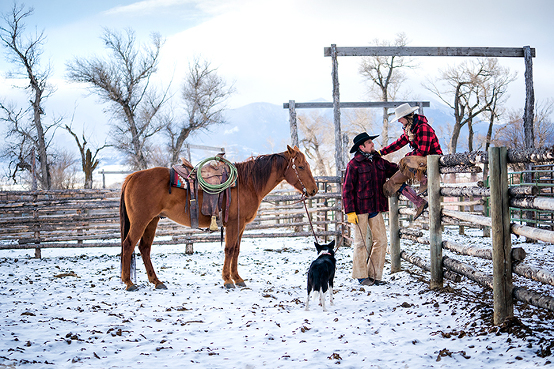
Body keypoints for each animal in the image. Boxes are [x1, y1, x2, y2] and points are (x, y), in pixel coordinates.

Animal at [119, 144, 320, 290]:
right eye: (300, 166)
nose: (314, 190)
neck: (248, 183)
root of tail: (132, 177)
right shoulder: (232, 224)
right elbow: (229, 249)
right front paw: (227, 280)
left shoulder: (240, 225)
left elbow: (236, 250)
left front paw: (238, 278)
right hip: (140, 221)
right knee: (129, 245)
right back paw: (129, 283)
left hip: (152, 221)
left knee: (144, 248)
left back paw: (157, 281)